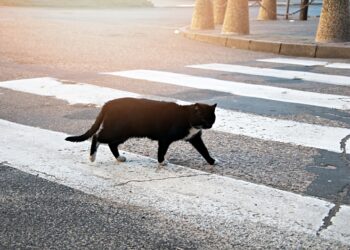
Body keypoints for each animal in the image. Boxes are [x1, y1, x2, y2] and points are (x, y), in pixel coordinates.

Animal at [64, 97, 215, 166]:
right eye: (203, 118)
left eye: (212, 118)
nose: (209, 125)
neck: (187, 117)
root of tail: (109, 103)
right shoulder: (165, 138)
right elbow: (162, 151)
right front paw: (161, 162)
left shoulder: (195, 138)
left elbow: (204, 149)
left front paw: (212, 161)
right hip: (116, 130)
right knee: (97, 137)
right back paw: (92, 157)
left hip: (123, 134)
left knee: (112, 144)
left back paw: (119, 158)